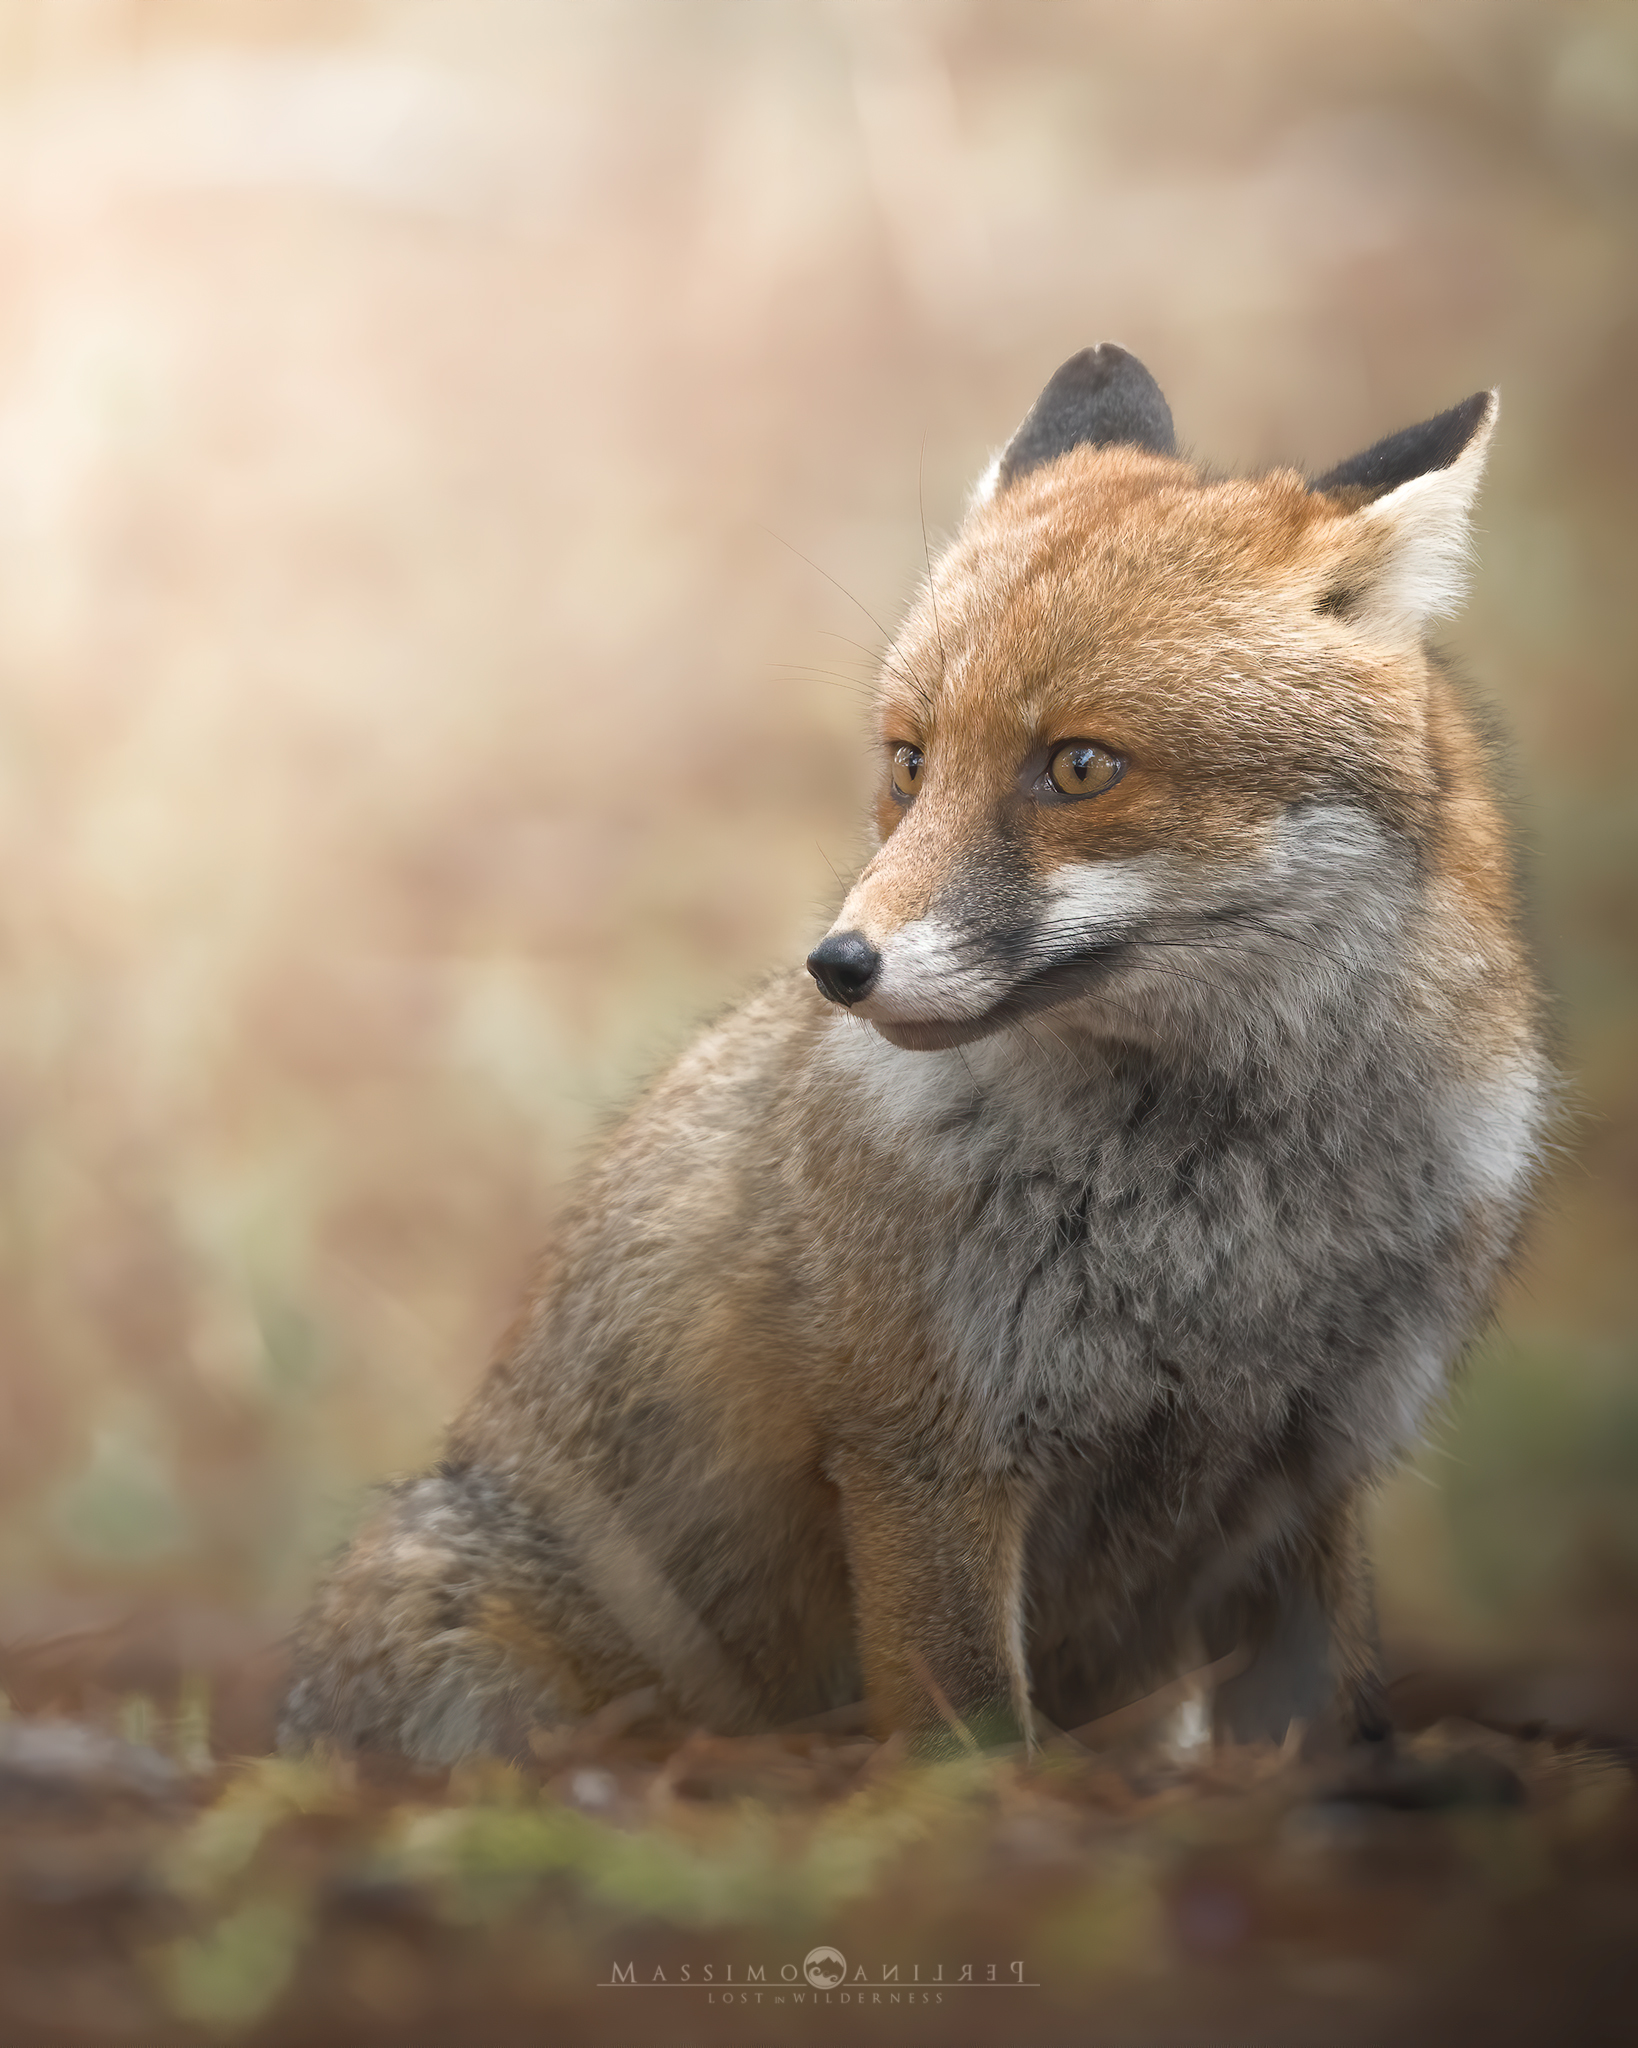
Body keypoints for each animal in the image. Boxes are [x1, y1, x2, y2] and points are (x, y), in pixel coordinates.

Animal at [280, 346, 1548, 1766]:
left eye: (1081, 766)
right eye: (909, 760)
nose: (838, 965)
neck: (1220, 1212)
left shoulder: (1316, 1467)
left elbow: (1326, 1719)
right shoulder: (926, 1452)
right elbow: (975, 1738)